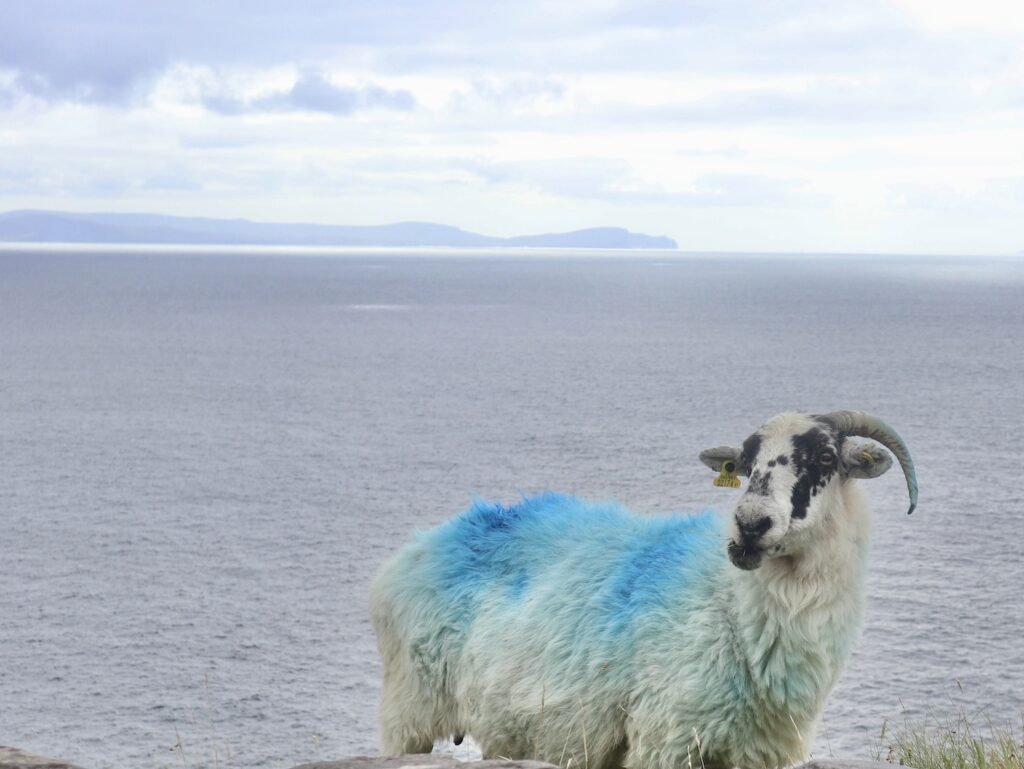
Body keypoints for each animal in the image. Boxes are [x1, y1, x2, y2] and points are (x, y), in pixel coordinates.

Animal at [369, 410, 918, 769]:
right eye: (744, 463)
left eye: (825, 456)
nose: (748, 525)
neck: (732, 609)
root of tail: (424, 541)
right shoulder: (665, 738)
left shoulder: (759, 751)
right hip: (407, 710)